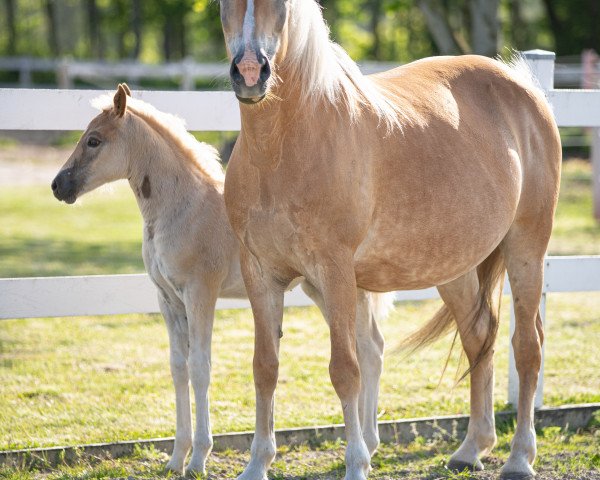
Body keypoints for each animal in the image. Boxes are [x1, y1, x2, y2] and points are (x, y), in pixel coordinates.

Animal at [49, 85, 392, 476]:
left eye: (93, 140)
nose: (58, 185)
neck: (182, 209)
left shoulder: (201, 292)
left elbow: (201, 367)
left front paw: (198, 458)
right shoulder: (167, 299)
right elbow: (178, 367)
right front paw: (176, 458)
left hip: (338, 288)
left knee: (369, 351)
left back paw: (365, 447)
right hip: (322, 288)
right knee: (371, 348)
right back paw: (369, 445)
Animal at [219, 0, 564, 480]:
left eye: (282, 7)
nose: (251, 72)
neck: (285, 145)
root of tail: (527, 88)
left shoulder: (336, 273)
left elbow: (345, 369)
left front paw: (356, 463)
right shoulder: (260, 274)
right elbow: (265, 368)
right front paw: (257, 464)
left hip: (527, 247)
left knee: (528, 347)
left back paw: (518, 457)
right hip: (454, 268)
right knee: (479, 338)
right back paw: (471, 448)